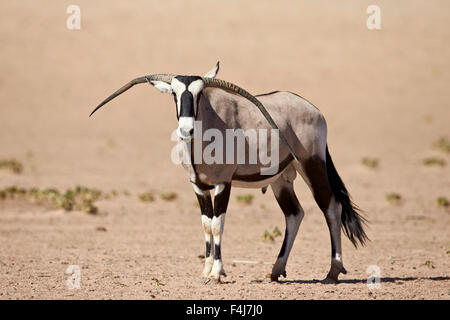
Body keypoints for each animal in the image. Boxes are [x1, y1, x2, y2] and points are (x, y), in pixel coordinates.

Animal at [89, 62, 368, 282]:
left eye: (200, 93)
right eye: (175, 94)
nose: (186, 130)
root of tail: (314, 110)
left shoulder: (224, 183)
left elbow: (217, 224)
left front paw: (217, 273)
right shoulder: (199, 186)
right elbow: (205, 224)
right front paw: (206, 271)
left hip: (312, 165)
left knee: (331, 208)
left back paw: (332, 272)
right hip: (281, 180)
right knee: (294, 213)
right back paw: (276, 270)